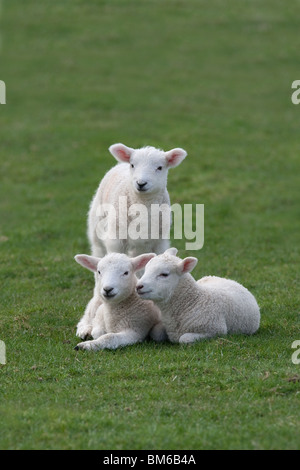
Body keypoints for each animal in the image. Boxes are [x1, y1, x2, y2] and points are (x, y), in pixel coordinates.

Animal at [76, 141, 186, 340]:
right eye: (133, 165)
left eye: (160, 167)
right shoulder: (115, 240)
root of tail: (119, 165)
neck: (142, 203)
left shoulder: (159, 241)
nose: (141, 183)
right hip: (97, 232)